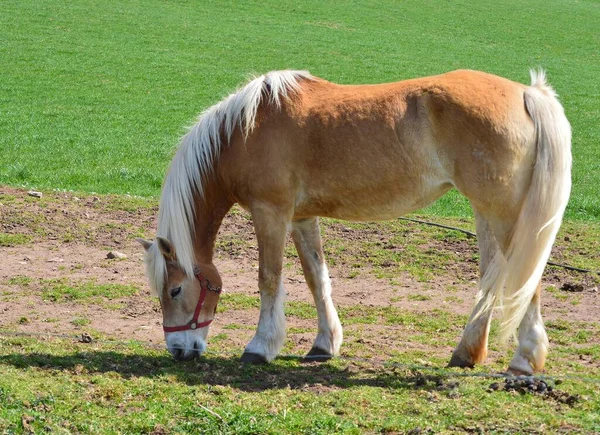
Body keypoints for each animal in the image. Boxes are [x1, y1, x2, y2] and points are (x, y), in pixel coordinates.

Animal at [137, 68, 572, 374]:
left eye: (175, 290)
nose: (179, 351)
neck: (244, 130)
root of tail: (527, 94)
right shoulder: (301, 217)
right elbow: (317, 278)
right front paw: (324, 344)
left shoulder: (271, 212)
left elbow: (269, 279)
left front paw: (260, 347)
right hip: (485, 212)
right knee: (491, 279)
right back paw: (466, 353)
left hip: (507, 216)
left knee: (525, 279)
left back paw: (524, 360)